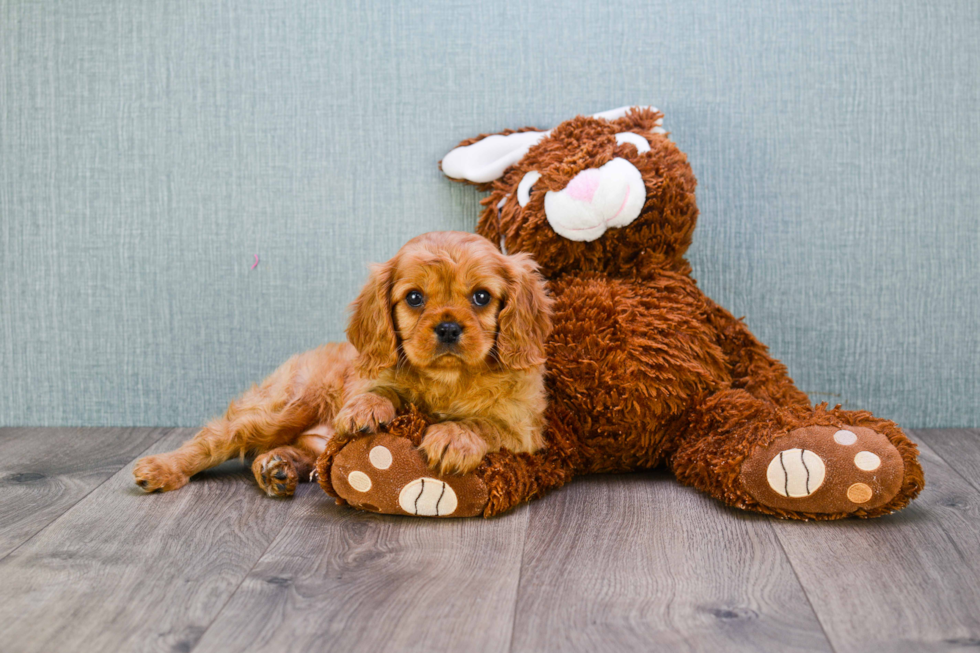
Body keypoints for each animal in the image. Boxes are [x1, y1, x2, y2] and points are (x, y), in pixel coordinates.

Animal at [134, 232, 556, 496]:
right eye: (415, 298)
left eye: (482, 297)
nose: (449, 328)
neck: (448, 379)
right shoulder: (368, 375)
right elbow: (379, 389)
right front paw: (366, 410)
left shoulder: (523, 428)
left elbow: (484, 423)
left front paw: (453, 435)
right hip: (284, 407)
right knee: (217, 437)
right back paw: (162, 468)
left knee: (304, 452)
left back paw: (277, 467)